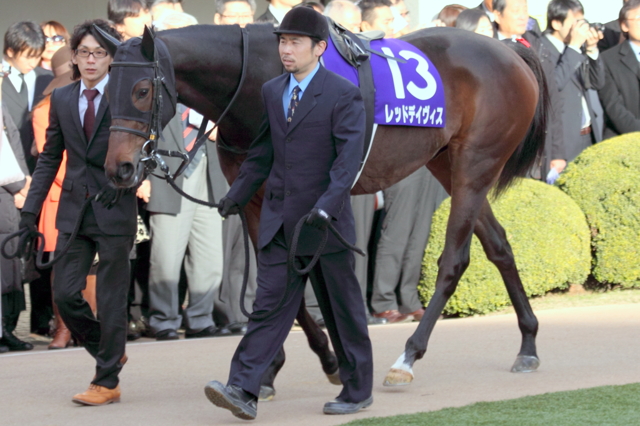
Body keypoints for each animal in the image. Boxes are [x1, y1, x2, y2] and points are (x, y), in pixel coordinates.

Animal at [98, 22, 548, 388]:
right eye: (105, 91)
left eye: (141, 90)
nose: (119, 168)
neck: (259, 77)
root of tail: (510, 52)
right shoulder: (253, 199)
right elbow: (278, 284)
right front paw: (279, 366)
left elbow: (296, 278)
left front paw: (325, 360)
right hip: (445, 164)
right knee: (500, 246)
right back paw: (528, 343)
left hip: (476, 164)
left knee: (454, 261)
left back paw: (407, 357)